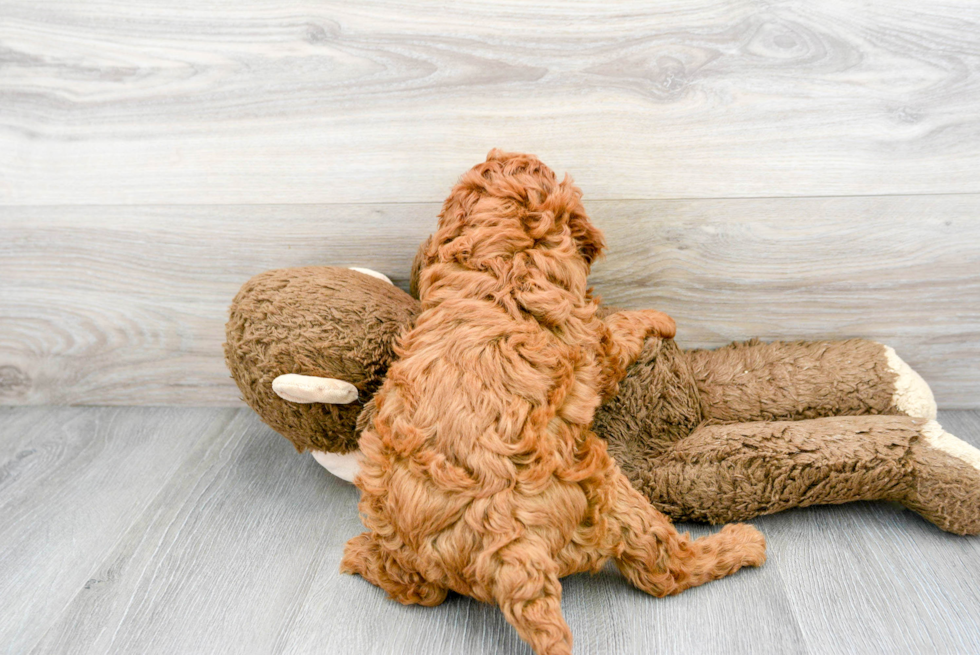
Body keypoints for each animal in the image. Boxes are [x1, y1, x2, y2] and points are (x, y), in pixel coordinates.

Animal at [342, 151, 764, 655]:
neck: (501, 263)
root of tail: (508, 549)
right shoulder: (595, 344)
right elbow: (620, 328)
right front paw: (660, 317)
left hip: (396, 526)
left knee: (416, 589)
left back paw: (359, 555)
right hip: (608, 496)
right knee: (662, 571)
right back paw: (741, 544)